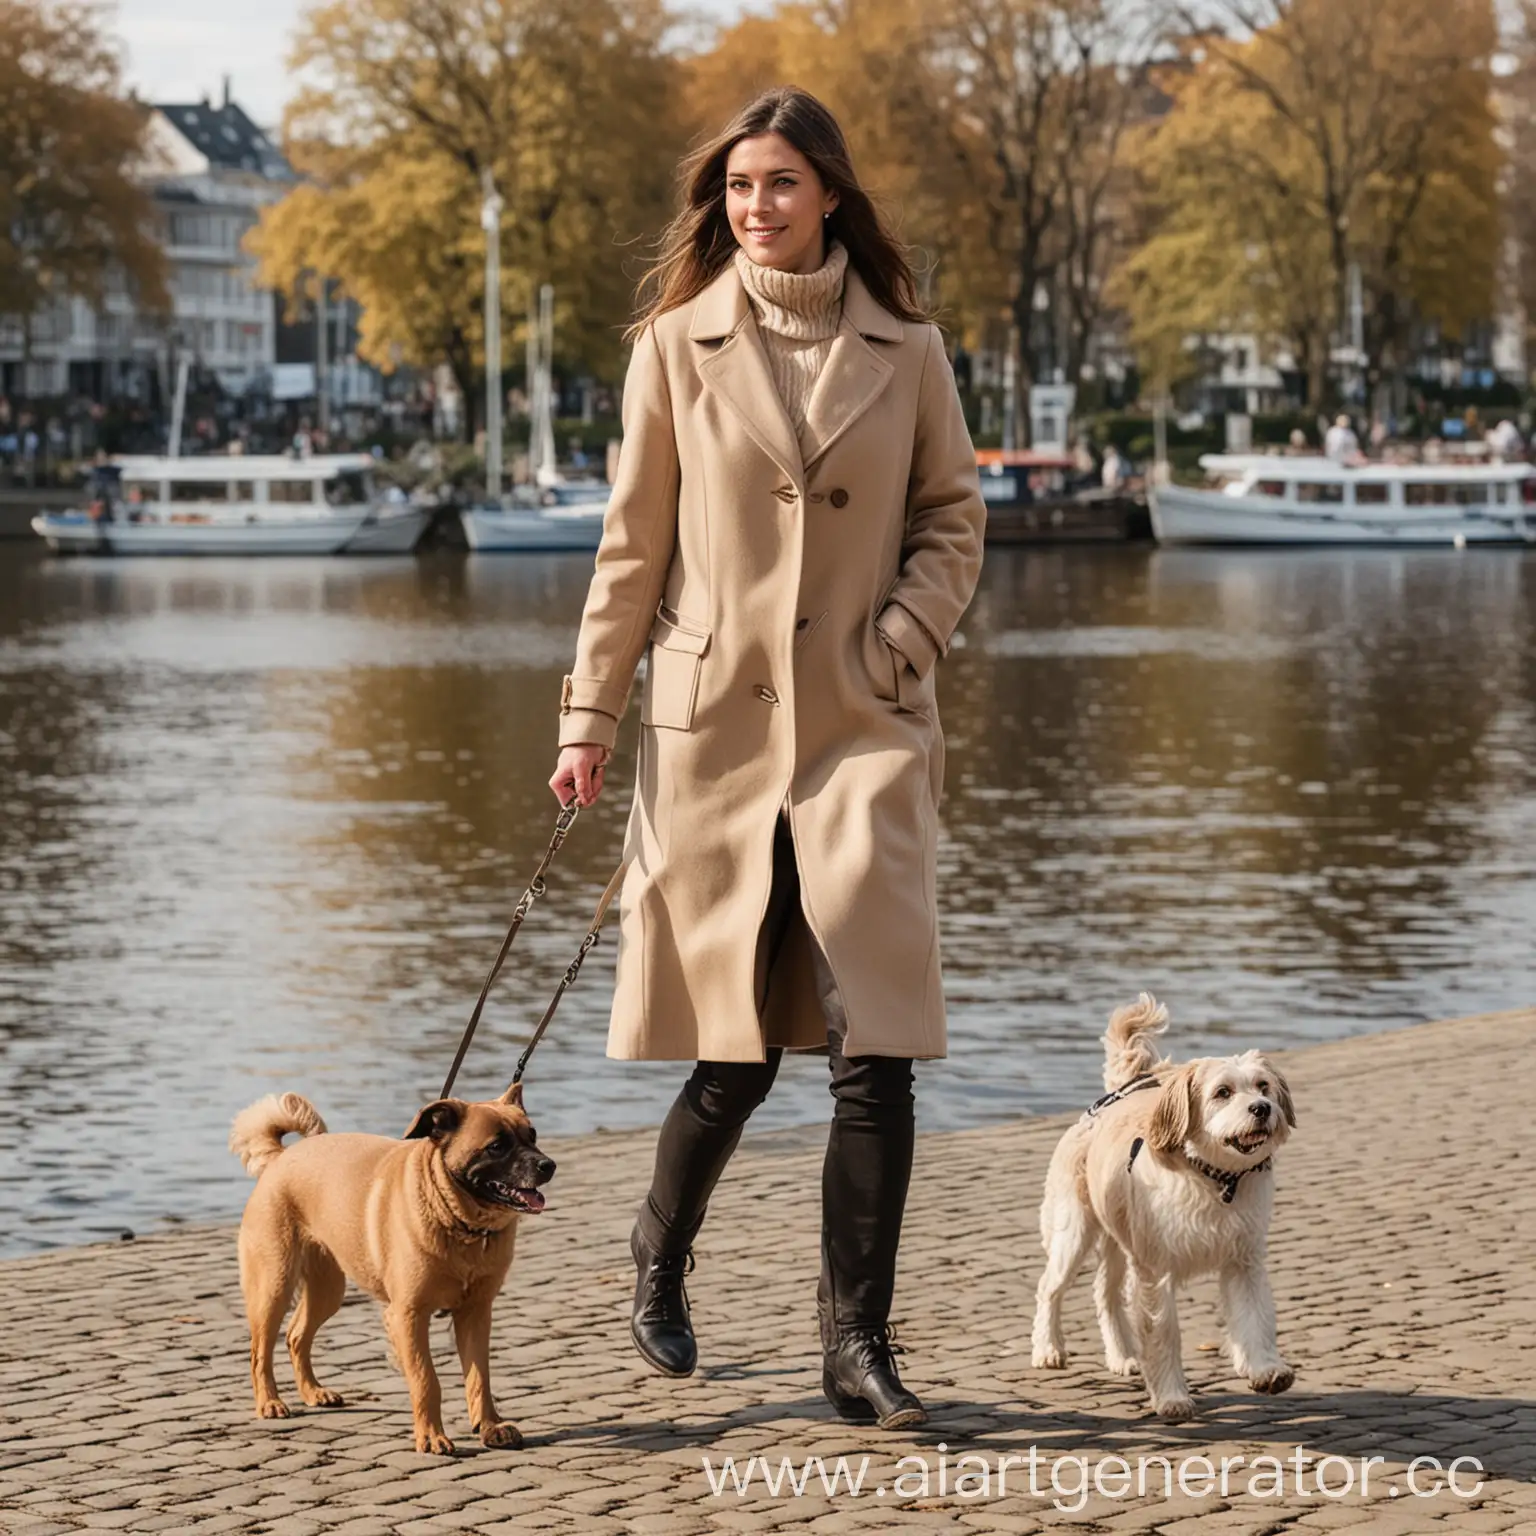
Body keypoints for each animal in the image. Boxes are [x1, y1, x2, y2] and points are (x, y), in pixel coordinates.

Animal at [230, 1081, 556, 1449]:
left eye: (533, 1134)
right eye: (497, 1146)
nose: (549, 1165)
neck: (459, 1222)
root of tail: (280, 1158)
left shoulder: (475, 1313)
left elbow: (479, 1376)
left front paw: (489, 1426)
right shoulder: (408, 1315)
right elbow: (427, 1380)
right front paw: (432, 1437)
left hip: (328, 1290)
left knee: (297, 1336)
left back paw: (313, 1392)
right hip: (273, 1285)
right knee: (260, 1351)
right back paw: (269, 1402)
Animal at [1032, 995, 1296, 1413]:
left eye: (1263, 1086)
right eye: (1223, 1092)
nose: (1261, 1108)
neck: (1213, 1178)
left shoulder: (1243, 1261)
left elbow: (1254, 1318)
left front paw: (1266, 1370)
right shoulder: (1155, 1272)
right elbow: (1162, 1335)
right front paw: (1172, 1397)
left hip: (1118, 1239)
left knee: (1105, 1293)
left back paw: (1123, 1355)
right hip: (1073, 1233)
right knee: (1049, 1288)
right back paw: (1048, 1348)